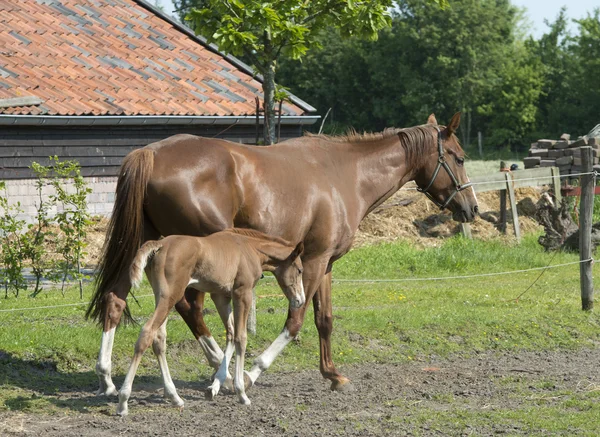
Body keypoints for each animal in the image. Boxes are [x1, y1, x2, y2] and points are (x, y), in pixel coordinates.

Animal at [116, 227, 304, 414]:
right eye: (300, 270)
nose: (300, 300)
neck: (250, 249)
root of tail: (160, 244)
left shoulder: (221, 296)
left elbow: (231, 334)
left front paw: (215, 387)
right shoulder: (242, 294)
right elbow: (241, 338)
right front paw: (241, 393)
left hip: (160, 296)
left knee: (159, 339)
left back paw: (175, 397)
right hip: (170, 295)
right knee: (147, 333)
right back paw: (123, 401)